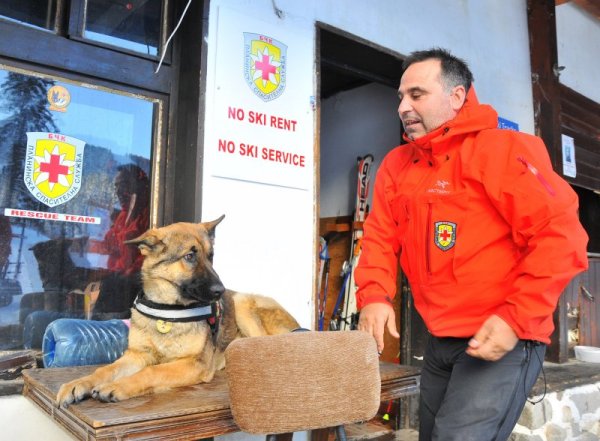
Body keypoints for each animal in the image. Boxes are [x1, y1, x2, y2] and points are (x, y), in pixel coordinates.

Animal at [56, 214, 300, 406]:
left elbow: (153, 370)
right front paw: (79, 383)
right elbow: (105, 370)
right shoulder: (137, 355)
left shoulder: (194, 364)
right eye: (189, 256)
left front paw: (117, 386)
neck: (168, 310)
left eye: (210, 256)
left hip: (241, 302)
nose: (220, 291)